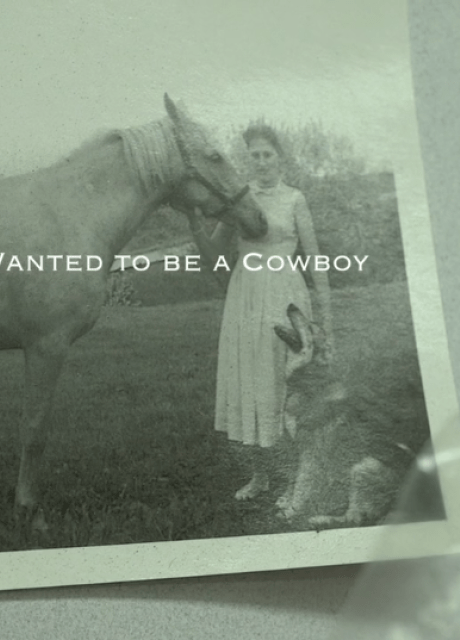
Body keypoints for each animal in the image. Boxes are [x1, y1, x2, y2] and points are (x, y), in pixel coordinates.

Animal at [0, 92, 266, 528]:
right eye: (214, 156)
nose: (258, 219)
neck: (66, 216)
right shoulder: (45, 347)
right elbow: (34, 429)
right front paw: (29, 510)